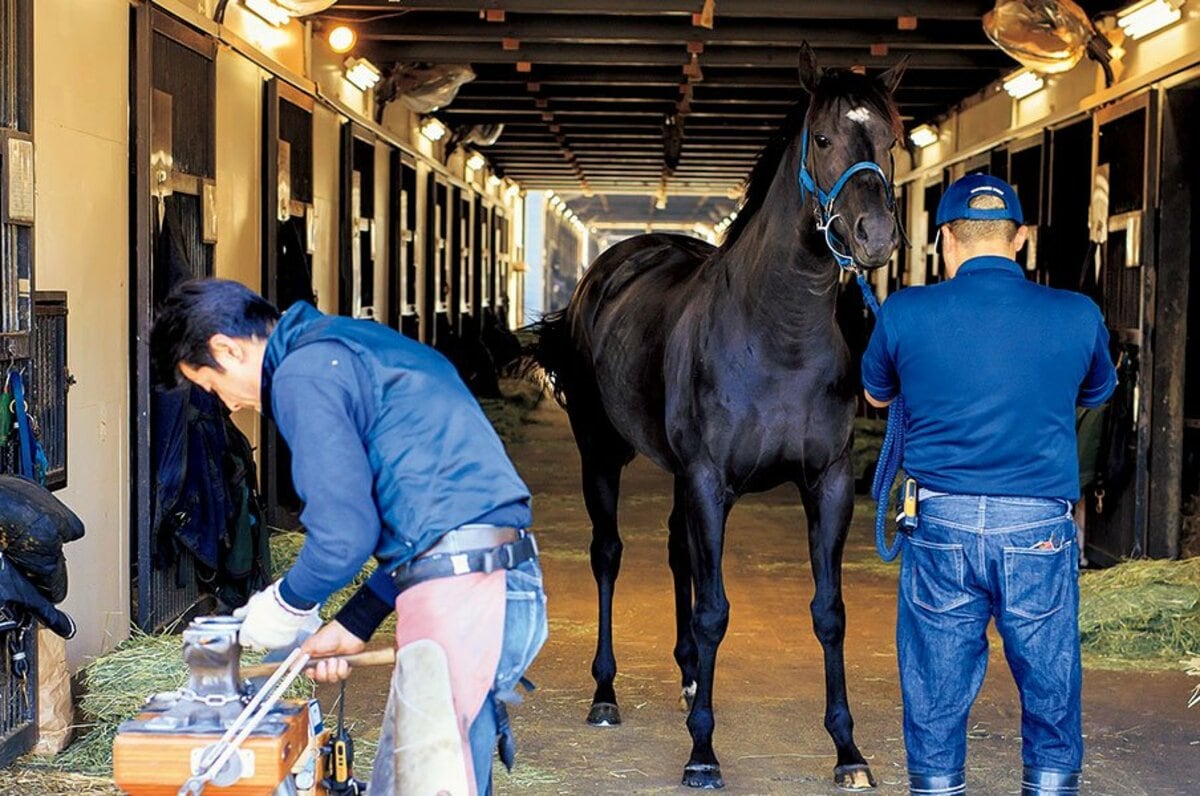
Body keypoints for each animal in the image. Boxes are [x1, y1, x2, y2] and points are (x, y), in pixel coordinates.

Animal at [530, 49, 902, 792]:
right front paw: (702, 753)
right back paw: (606, 693)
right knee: (609, 556)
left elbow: (829, 613)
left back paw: (687, 681)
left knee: (679, 552)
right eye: (823, 138)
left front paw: (848, 751)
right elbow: (713, 611)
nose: (875, 237)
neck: (779, 335)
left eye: (892, 141)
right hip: (602, 456)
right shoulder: (709, 480)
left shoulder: (827, 483)